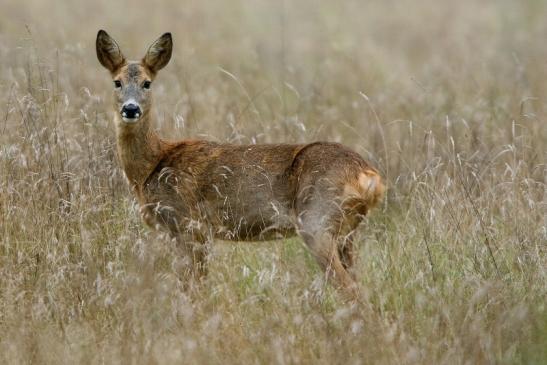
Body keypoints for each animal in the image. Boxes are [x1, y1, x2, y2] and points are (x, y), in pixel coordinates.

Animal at [95, 29, 386, 298]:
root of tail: (370, 177)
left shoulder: (191, 225)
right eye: (117, 82)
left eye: (147, 83)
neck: (152, 165)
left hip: (317, 221)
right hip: (347, 233)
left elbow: (193, 288)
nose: (130, 109)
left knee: (351, 290)